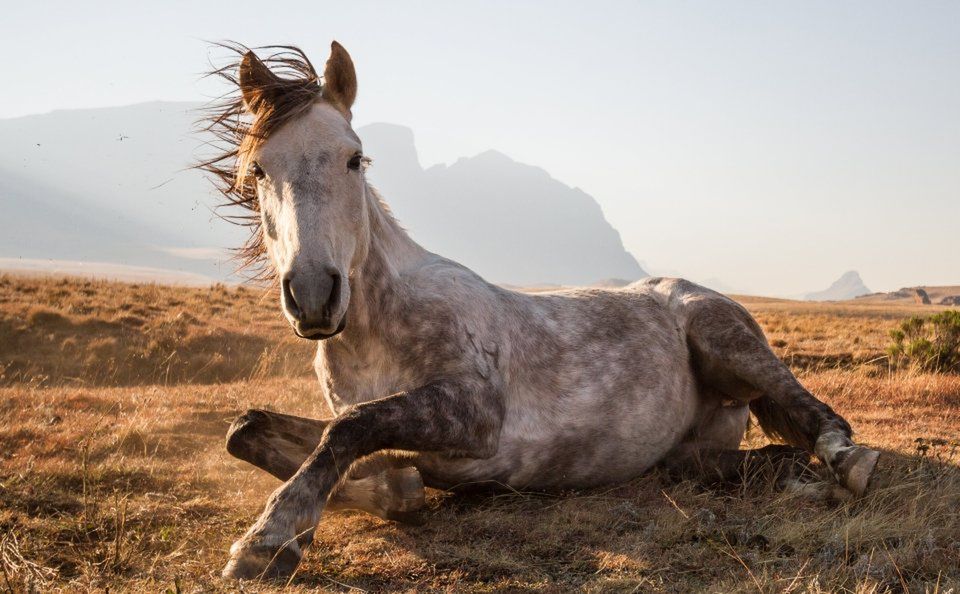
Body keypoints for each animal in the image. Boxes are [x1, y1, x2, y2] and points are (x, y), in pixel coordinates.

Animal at [199, 40, 880, 580]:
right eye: (259, 169)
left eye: (354, 158)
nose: (314, 293)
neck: (376, 328)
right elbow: (252, 429)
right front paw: (390, 489)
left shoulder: (474, 413)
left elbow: (349, 428)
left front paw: (269, 538)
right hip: (686, 450)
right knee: (725, 463)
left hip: (728, 340)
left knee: (819, 416)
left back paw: (847, 463)